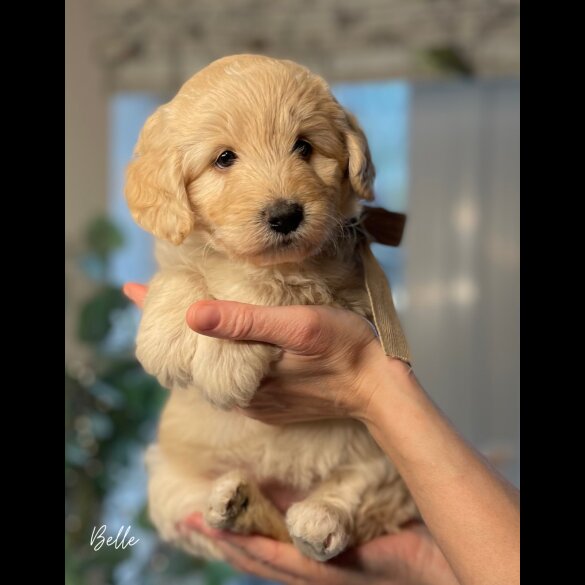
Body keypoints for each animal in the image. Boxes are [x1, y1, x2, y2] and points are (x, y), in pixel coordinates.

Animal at [126, 54, 418, 560]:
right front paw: (165, 338)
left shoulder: (341, 284)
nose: (286, 216)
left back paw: (318, 519)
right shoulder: (182, 250)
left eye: (304, 147)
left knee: (356, 496)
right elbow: (184, 269)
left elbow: (266, 284)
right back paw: (237, 504)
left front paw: (225, 356)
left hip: (387, 456)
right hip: (167, 483)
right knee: (222, 519)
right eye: (224, 158)